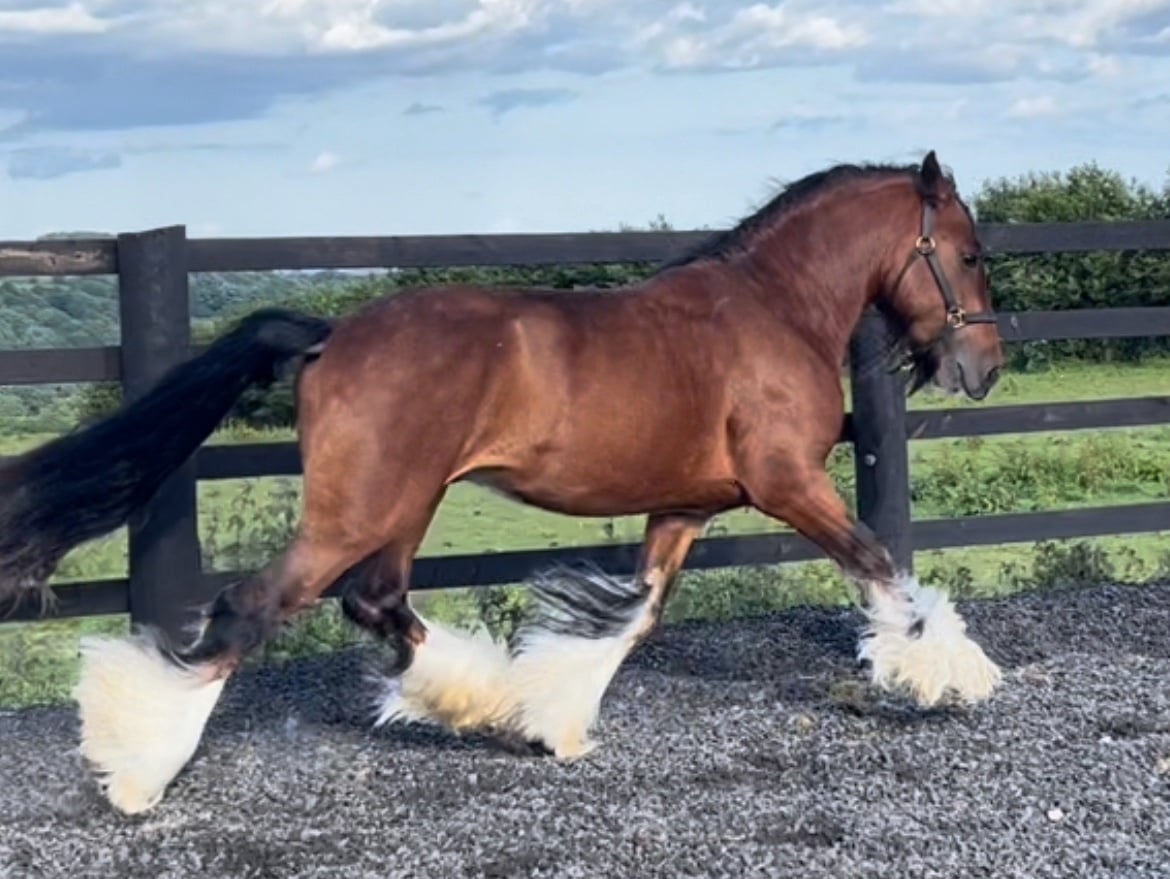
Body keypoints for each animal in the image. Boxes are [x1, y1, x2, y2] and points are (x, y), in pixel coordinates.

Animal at [0, 149, 1005, 816]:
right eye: (967, 252)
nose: (984, 367)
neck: (772, 309)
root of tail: (332, 335)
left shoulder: (682, 506)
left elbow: (636, 615)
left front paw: (554, 721)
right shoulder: (787, 484)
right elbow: (881, 565)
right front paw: (956, 674)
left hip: (404, 505)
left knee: (377, 601)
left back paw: (475, 700)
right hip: (358, 510)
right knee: (254, 607)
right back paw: (138, 770)